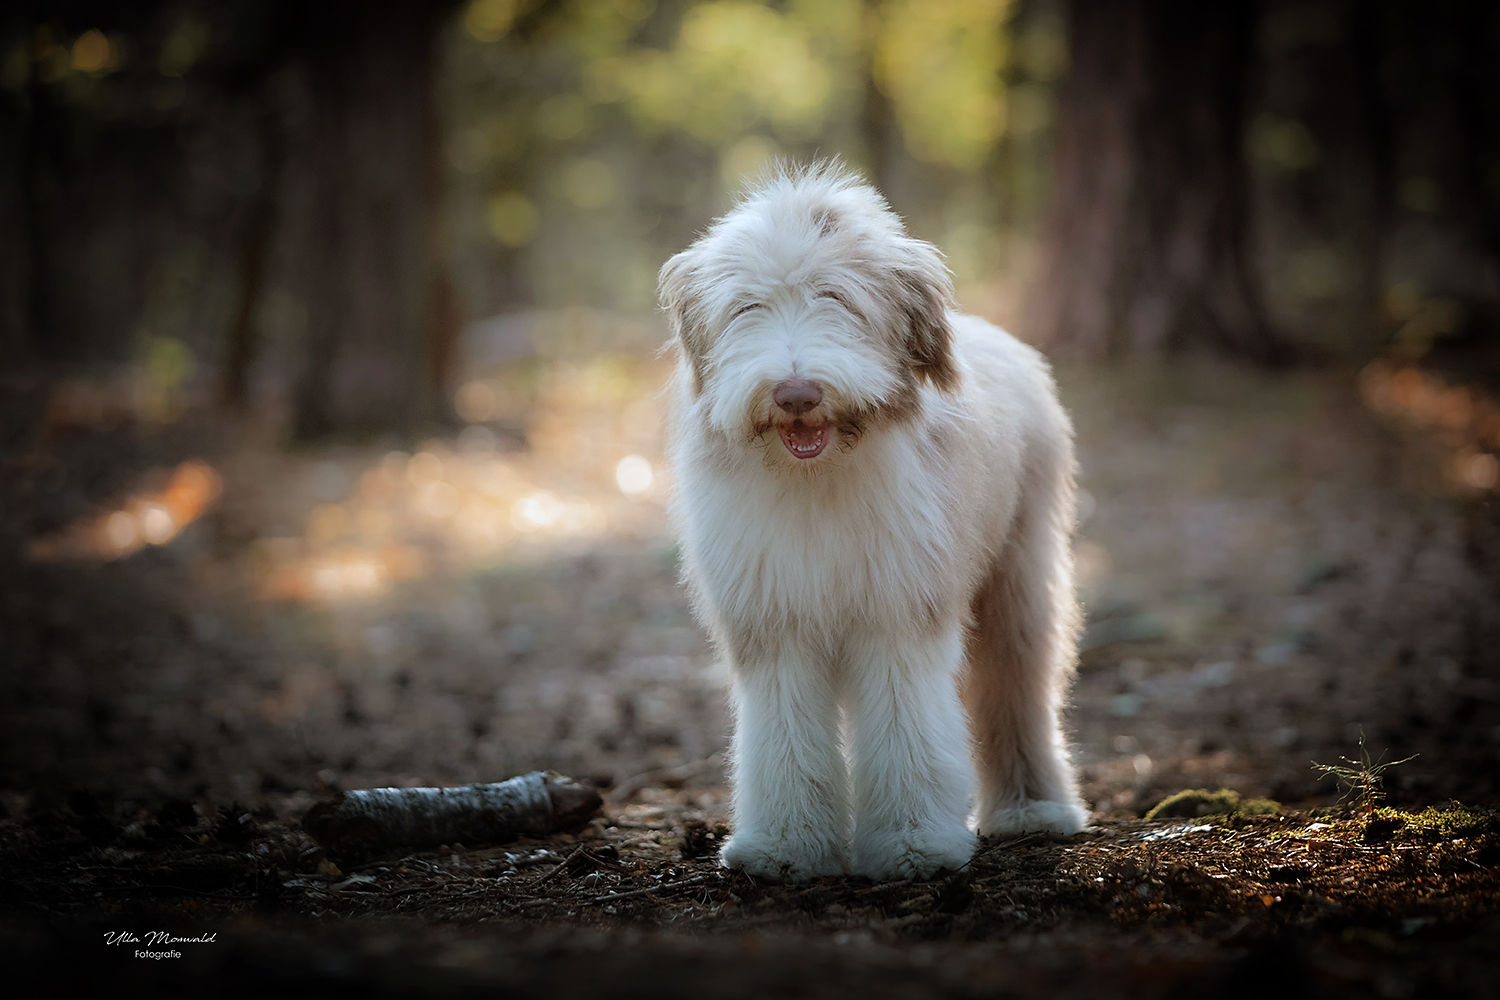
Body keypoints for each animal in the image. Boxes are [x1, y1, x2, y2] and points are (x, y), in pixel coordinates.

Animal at [663, 166, 1086, 881]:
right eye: (748, 307)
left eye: (837, 298)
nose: (795, 394)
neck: (817, 478)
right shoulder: (774, 622)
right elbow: (783, 737)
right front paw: (785, 848)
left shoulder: (898, 613)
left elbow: (904, 729)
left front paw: (913, 846)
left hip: (1020, 576)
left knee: (1016, 687)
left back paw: (1034, 811)